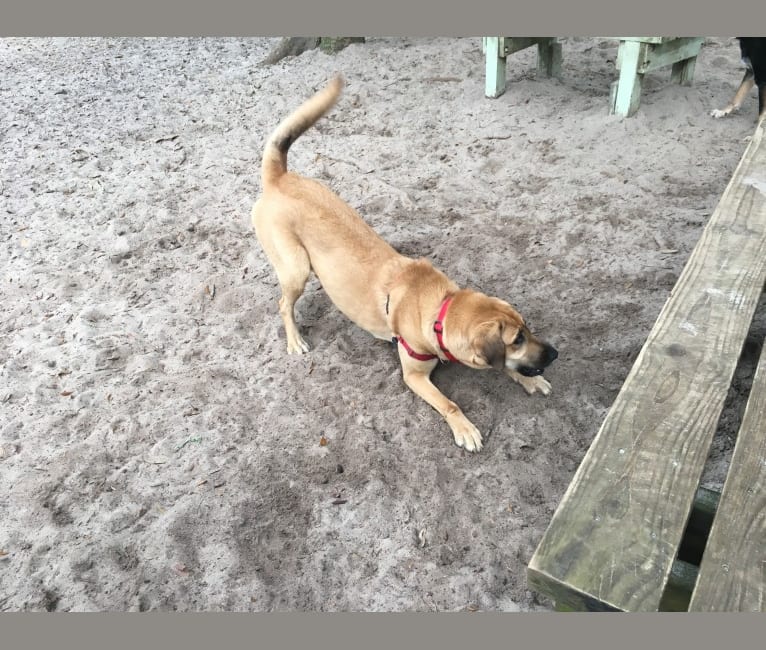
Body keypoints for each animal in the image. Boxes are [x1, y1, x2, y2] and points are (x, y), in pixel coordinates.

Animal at [252, 76, 560, 450]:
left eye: (526, 329)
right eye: (516, 340)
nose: (554, 354)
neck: (439, 310)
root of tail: (278, 178)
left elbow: (505, 368)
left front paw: (530, 381)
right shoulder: (413, 375)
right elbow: (450, 403)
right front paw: (465, 428)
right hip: (295, 270)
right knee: (284, 304)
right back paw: (295, 340)